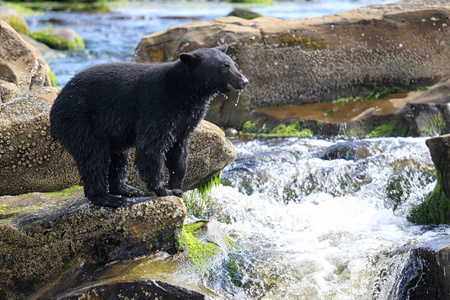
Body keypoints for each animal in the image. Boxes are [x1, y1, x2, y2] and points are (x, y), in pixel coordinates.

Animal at [49, 44, 250, 207]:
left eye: (232, 63)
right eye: (223, 67)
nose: (244, 81)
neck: (186, 92)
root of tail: (57, 103)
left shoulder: (186, 119)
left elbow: (179, 151)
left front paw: (177, 187)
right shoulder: (158, 106)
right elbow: (151, 147)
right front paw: (163, 189)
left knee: (119, 157)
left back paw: (126, 189)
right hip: (81, 120)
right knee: (94, 157)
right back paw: (109, 198)